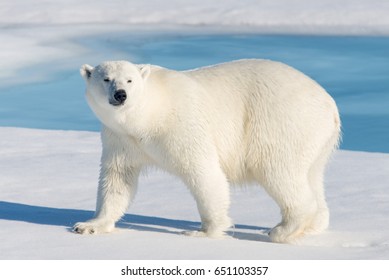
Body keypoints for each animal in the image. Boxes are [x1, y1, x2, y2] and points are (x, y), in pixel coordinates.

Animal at [73, 59, 340, 243]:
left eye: (130, 80)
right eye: (106, 79)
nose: (121, 95)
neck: (149, 115)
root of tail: (330, 104)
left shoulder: (181, 125)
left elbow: (204, 172)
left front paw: (203, 231)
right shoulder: (121, 139)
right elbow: (117, 179)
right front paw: (89, 225)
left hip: (281, 122)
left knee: (279, 171)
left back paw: (281, 230)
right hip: (316, 139)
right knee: (312, 175)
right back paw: (314, 225)